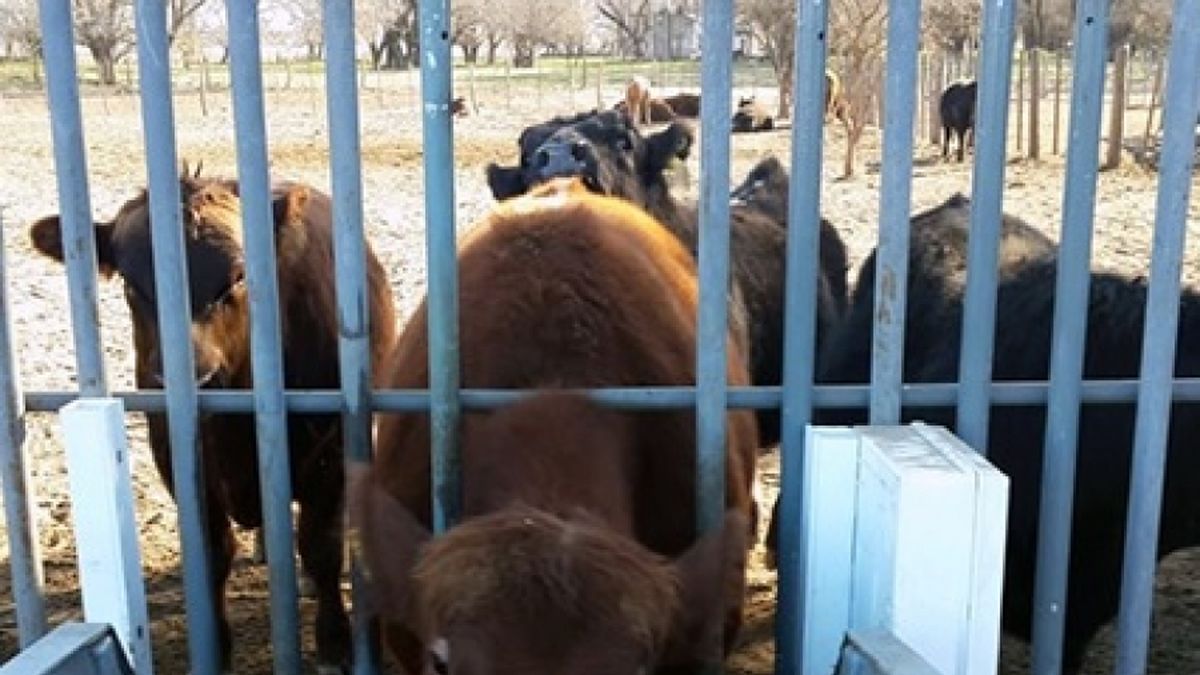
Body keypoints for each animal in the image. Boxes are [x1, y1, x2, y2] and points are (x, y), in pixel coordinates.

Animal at [28, 166, 398, 674]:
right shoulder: (176, 455)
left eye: (239, 277)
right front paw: (215, 646)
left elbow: (320, 547)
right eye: (130, 284)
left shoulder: (332, 451)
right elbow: (211, 553)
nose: (195, 376)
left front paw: (335, 644)